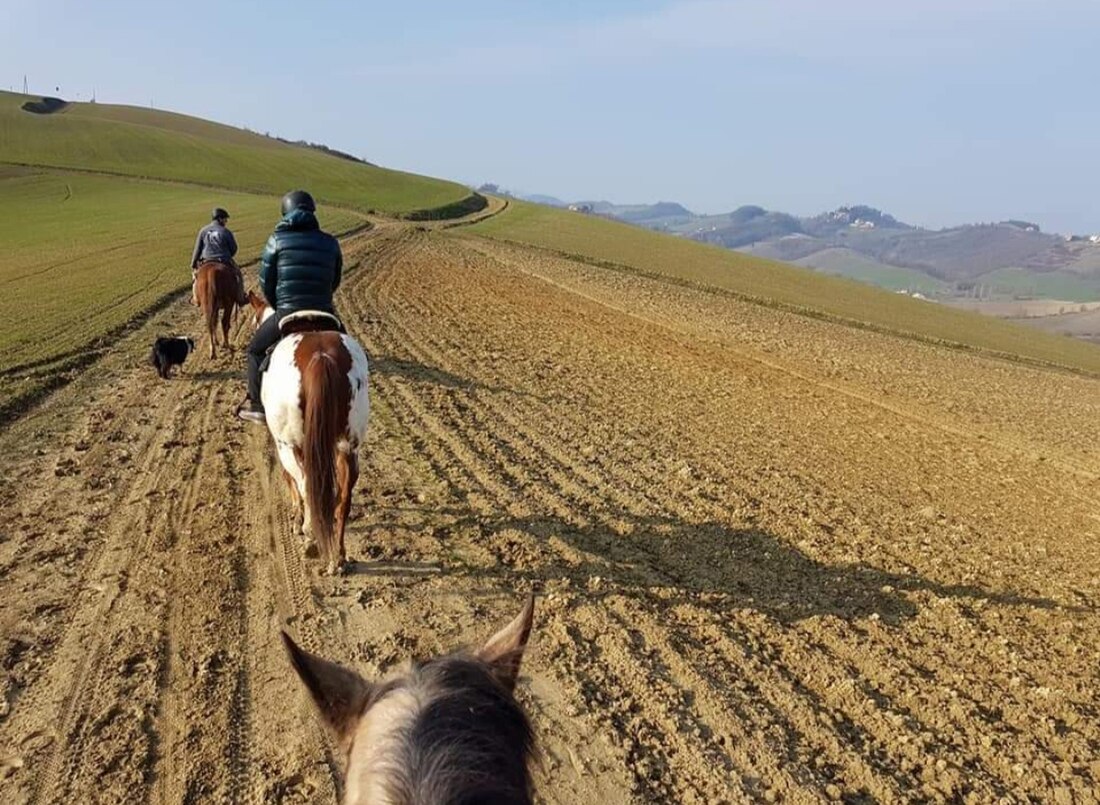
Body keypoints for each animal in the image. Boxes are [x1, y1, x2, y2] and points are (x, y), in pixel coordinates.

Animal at [249, 294, 369, 571]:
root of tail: (320, 357)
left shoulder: (284, 445)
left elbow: (290, 480)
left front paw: (296, 519)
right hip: (349, 446)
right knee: (343, 498)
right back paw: (338, 556)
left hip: (290, 445)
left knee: (306, 485)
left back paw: (310, 536)